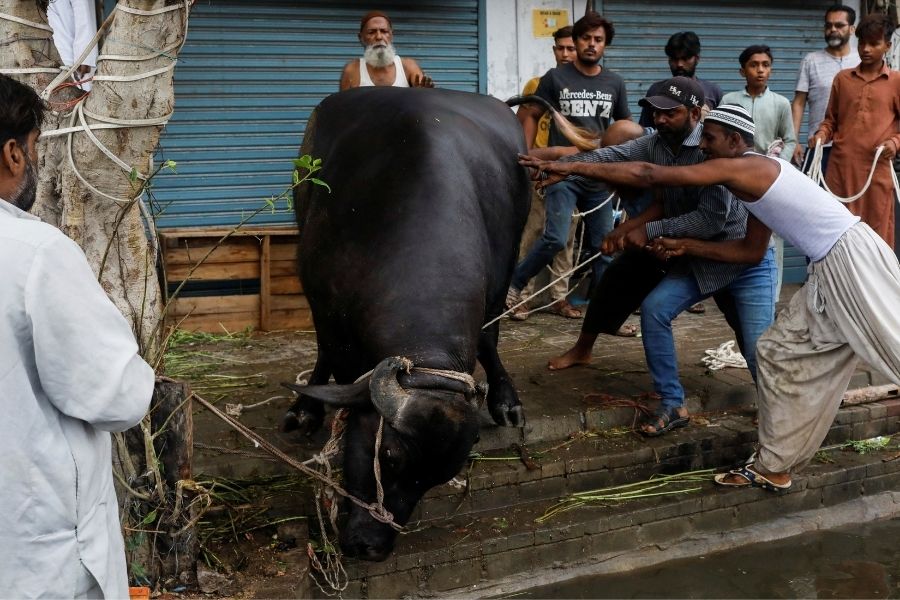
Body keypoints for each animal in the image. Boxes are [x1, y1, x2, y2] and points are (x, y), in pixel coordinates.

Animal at [284, 86, 532, 560]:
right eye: (390, 457)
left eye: (436, 479)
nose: (371, 546)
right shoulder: (323, 303)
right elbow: (328, 352)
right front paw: (307, 409)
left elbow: (488, 337)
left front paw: (505, 399)